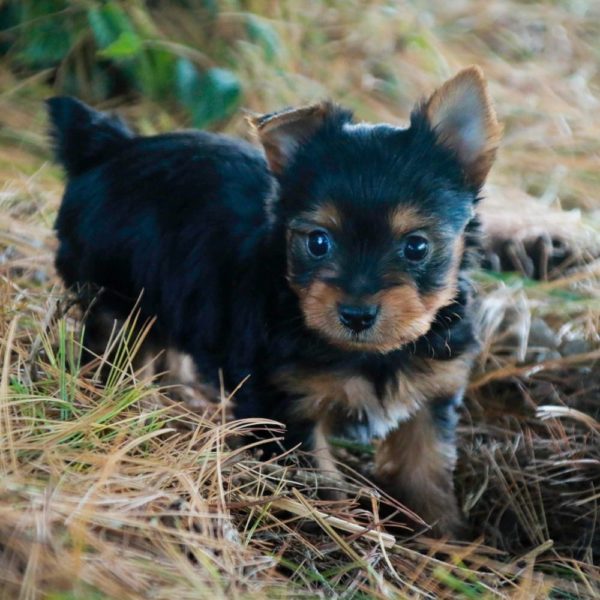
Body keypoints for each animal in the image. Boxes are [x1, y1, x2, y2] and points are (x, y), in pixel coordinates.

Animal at [48, 65, 502, 536]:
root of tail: (110, 148)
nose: (356, 314)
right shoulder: (285, 403)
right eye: (318, 242)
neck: (373, 354)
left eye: (416, 247)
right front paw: (335, 530)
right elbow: (317, 481)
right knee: (116, 349)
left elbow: (426, 470)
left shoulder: (432, 394)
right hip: (114, 295)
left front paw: (447, 539)